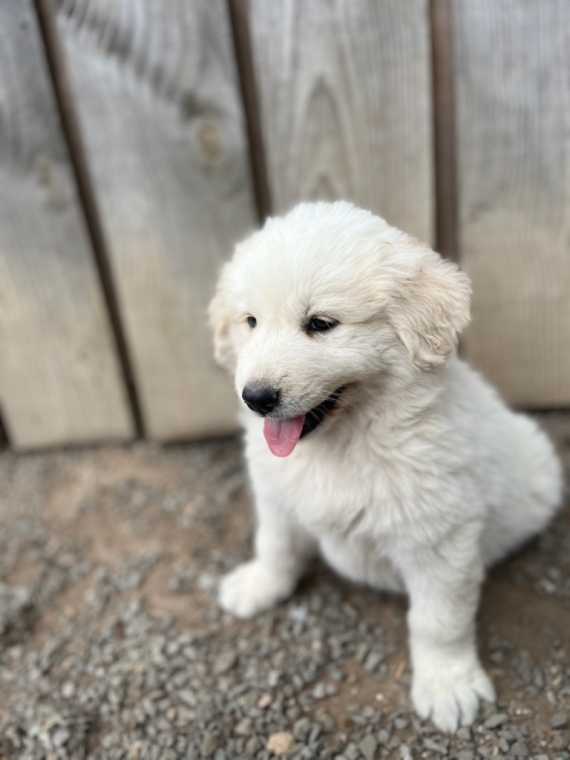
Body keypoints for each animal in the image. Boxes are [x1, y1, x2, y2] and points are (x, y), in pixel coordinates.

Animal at [207, 200, 560, 732]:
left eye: (321, 323)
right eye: (250, 321)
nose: (257, 398)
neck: (343, 442)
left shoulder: (439, 541)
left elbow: (437, 621)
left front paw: (448, 684)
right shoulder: (277, 498)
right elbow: (275, 546)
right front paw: (259, 584)